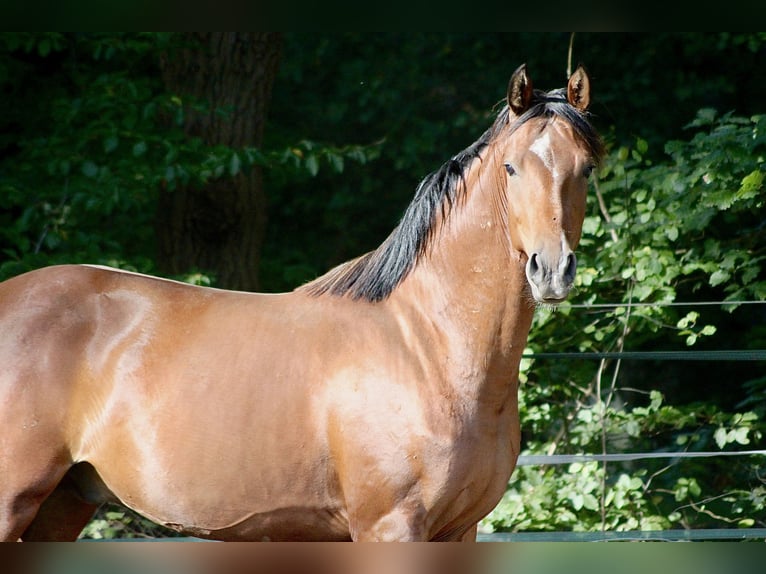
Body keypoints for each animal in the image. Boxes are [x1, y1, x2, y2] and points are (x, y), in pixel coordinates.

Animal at [0, 65, 608, 544]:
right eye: (511, 167)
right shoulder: (390, 527)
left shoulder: (459, 531)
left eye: (587, 168)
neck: (427, 346)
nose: (551, 269)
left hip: (63, 504)